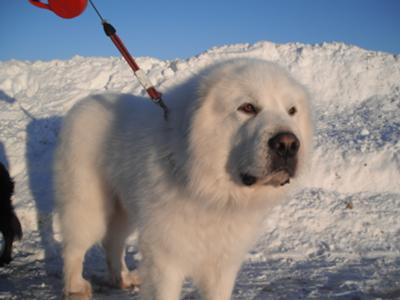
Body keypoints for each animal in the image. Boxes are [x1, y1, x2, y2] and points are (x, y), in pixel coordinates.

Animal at [54, 57, 314, 298]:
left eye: (292, 111)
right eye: (248, 107)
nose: (288, 144)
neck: (209, 189)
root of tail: (84, 103)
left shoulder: (222, 262)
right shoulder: (165, 257)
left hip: (122, 210)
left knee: (113, 242)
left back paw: (123, 278)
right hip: (89, 206)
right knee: (74, 247)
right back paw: (75, 286)